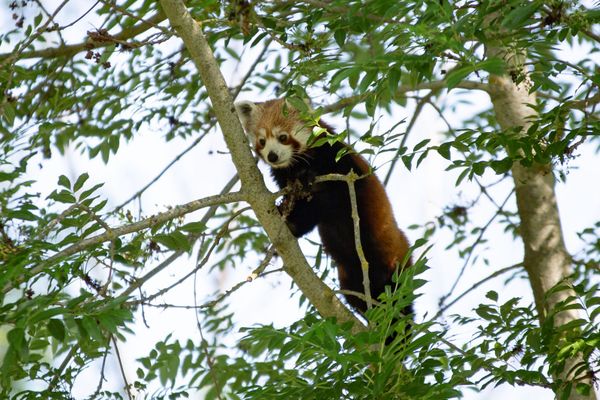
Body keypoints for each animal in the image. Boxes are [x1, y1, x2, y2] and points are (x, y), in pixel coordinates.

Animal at [236, 99, 412, 316]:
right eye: (262, 141)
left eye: (283, 137)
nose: (272, 156)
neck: (298, 165)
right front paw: (288, 218)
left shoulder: (339, 161)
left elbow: (330, 199)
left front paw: (306, 182)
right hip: (350, 278)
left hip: (394, 263)